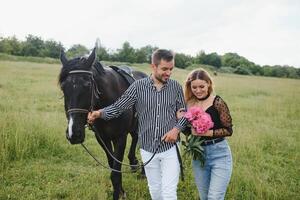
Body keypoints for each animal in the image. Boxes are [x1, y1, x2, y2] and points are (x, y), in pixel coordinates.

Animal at [58, 48, 146, 198]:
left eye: (88, 85)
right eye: (63, 87)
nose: (73, 133)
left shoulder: (120, 138)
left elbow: (115, 172)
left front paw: (119, 194)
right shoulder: (102, 139)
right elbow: (112, 165)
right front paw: (120, 191)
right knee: (135, 136)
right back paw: (133, 163)